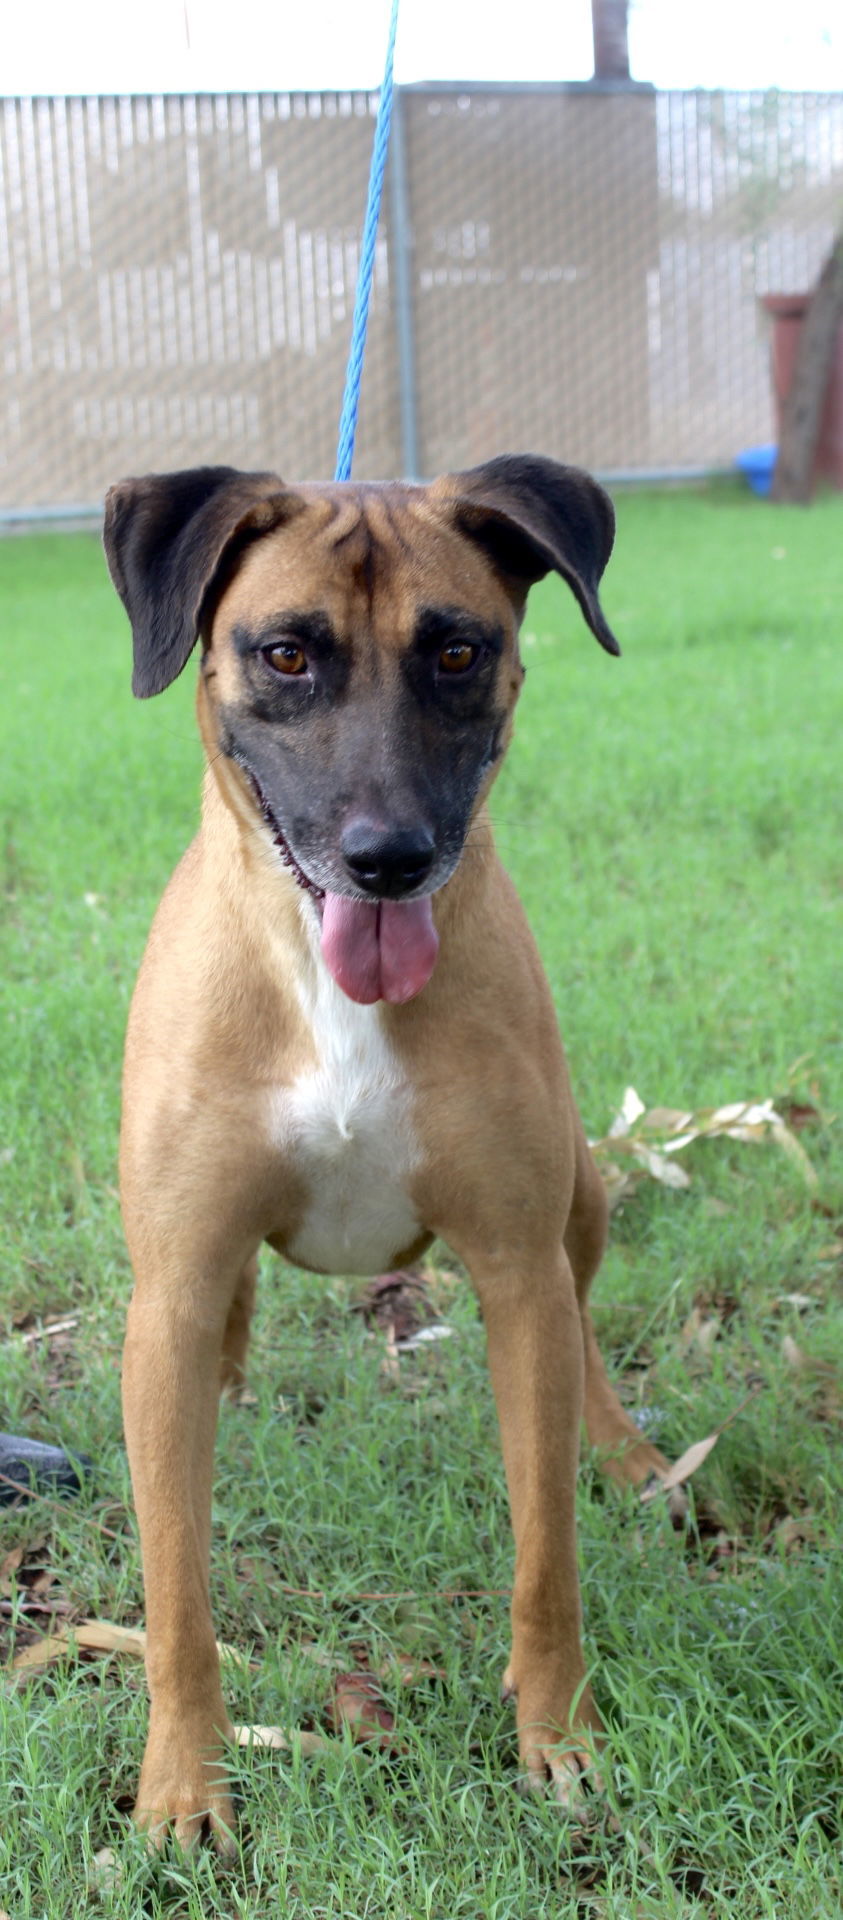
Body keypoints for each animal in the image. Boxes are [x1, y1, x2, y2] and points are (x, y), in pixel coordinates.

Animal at [104, 449, 672, 1843]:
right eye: (286, 654)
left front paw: (558, 1737)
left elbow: (545, 1557)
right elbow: (176, 1595)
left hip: (582, 1189)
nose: (389, 859)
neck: (325, 978)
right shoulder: (172, 1278)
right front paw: (183, 1785)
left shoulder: (515, 1269)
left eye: (460, 651)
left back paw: (624, 1450)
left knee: (584, 1327)